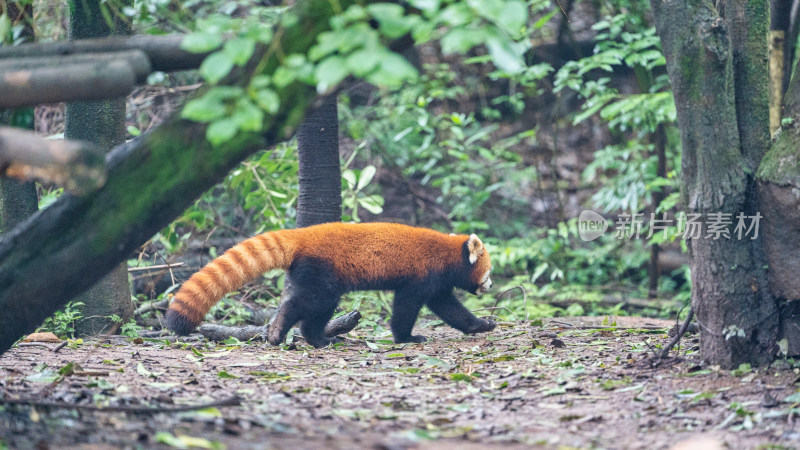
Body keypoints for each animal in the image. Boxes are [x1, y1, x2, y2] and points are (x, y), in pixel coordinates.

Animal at [165, 222, 494, 348]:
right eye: (488, 272)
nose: (489, 286)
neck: (448, 253)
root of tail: (302, 235)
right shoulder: (421, 276)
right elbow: (406, 307)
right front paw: (406, 337)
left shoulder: (437, 285)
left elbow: (449, 308)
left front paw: (481, 325)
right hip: (322, 272)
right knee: (309, 305)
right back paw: (292, 333)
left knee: (309, 307)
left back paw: (311, 337)